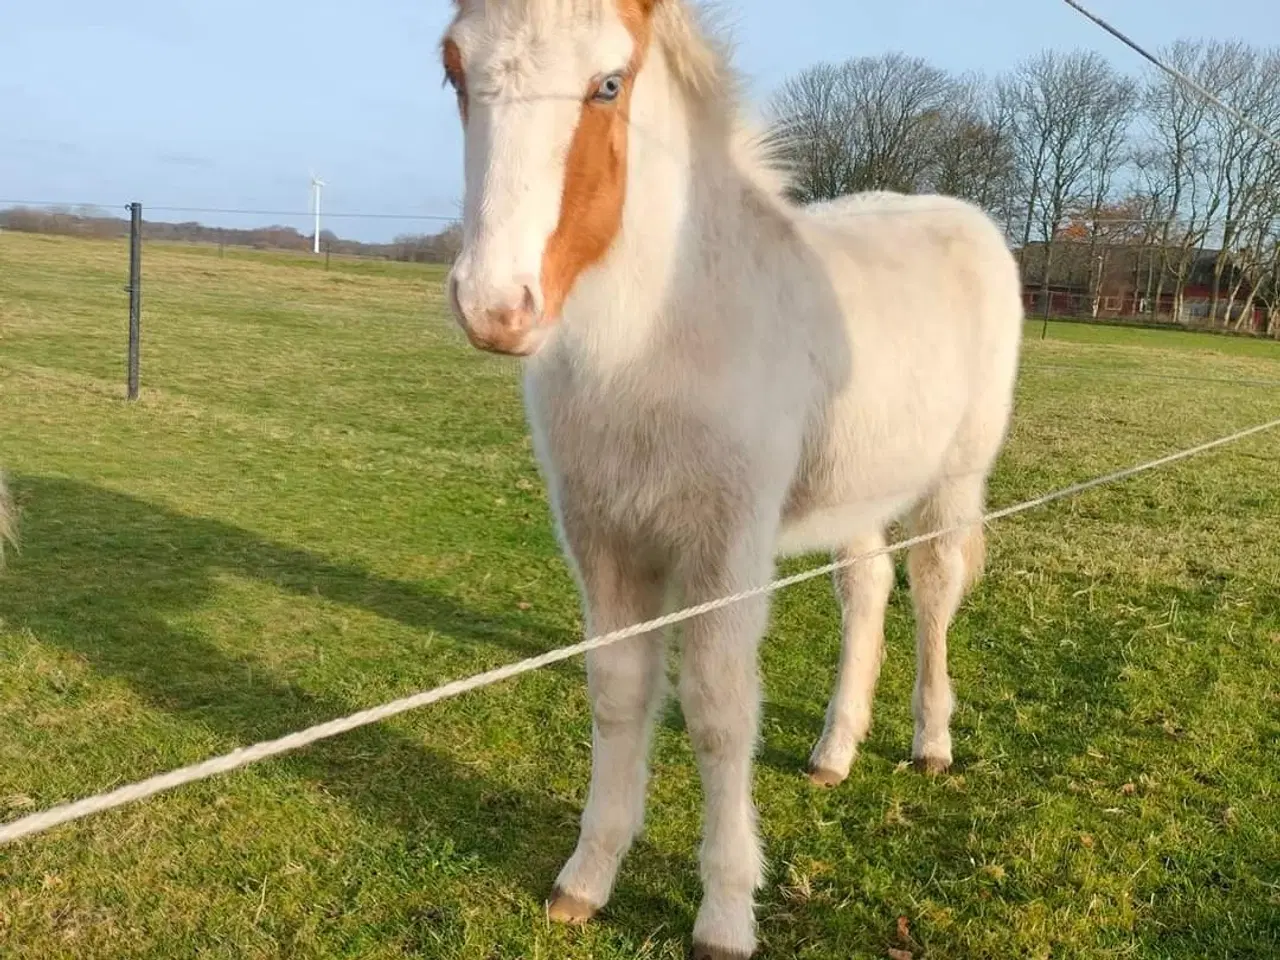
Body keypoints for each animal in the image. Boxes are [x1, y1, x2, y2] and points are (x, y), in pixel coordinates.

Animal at [437, 3, 1018, 957]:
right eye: (454, 69)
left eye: (609, 83)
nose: (496, 308)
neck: (659, 337)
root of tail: (960, 215)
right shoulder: (602, 537)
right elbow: (619, 692)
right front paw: (585, 880)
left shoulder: (727, 545)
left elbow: (717, 709)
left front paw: (724, 913)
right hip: (855, 486)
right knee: (868, 586)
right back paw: (834, 753)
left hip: (955, 476)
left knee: (934, 586)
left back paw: (931, 741)